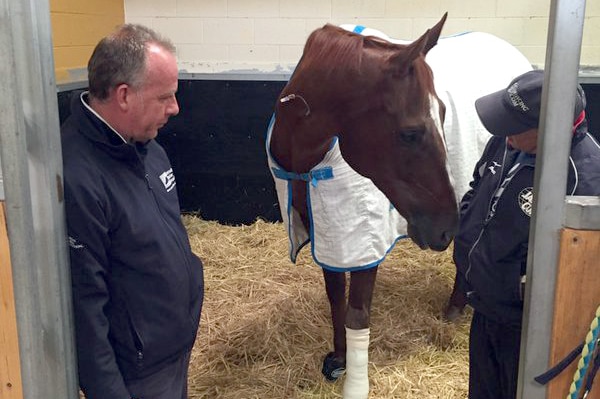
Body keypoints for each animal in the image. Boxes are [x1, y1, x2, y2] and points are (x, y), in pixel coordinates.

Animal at [266, 13, 454, 399]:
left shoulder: (364, 241)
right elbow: (336, 297)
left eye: (444, 114)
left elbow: (357, 313)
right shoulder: (328, 233)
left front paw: (356, 385)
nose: (446, 228)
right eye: (410, 133)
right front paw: (339, 359)